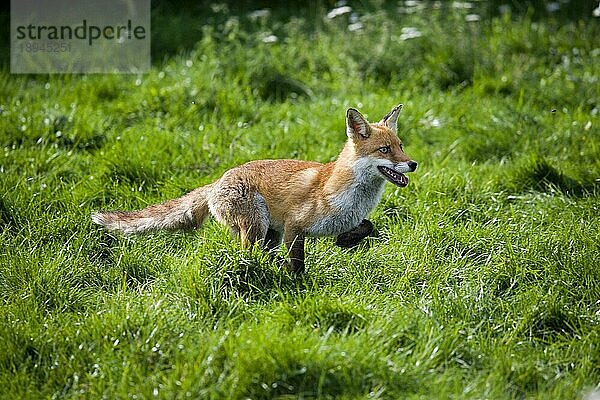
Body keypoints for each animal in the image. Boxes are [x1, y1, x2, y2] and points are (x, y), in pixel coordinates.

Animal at [92, 103, 418, 274]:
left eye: (401, 147)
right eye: (385, 150)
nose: (412, 164)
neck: (345, 194)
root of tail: (217, 181)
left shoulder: (341, 221)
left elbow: (368, 226)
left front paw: (345, 241)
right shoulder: (294, 226)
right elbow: (297, 264)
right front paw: (298, 285)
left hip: (268, 234)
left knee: (261, 254)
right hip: (256, 227)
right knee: (248, 256)